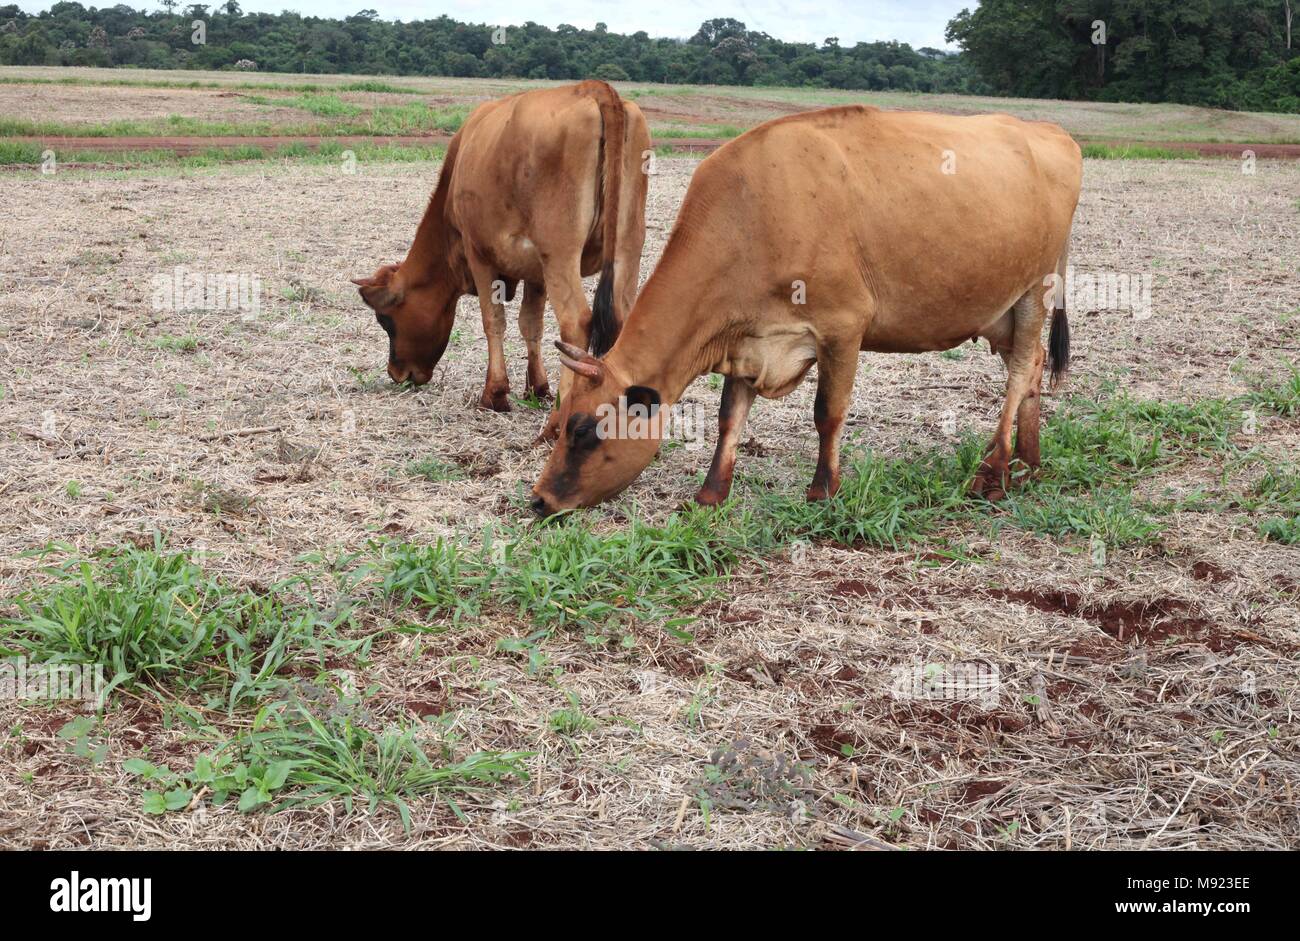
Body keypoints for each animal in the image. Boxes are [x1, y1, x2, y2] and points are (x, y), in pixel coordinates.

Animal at [353, 82, 650, 436]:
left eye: (385, 320)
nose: (395, 372)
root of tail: (591, 89)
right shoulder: (536, 272)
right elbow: (530, 324)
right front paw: (537, 388)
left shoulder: (479, 254)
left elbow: (493, 321)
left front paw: (494, 394)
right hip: (627, 248)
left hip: (560, 254)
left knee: (575, 322)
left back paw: (557, 422)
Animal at [533, 105, 1081, 514]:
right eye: (559, 428)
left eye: (583, 430)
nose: (538, 501)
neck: (752, 216)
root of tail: (1049, 131)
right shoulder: (749, 339)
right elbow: (730, 418)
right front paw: (710, 494)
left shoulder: (843, 326)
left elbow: (827, 413)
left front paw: (823, 490)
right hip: (1002, 310)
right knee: (1033, 367)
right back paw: (1027, 462)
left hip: (1034, 292)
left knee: (1019, 372)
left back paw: (995, 470)